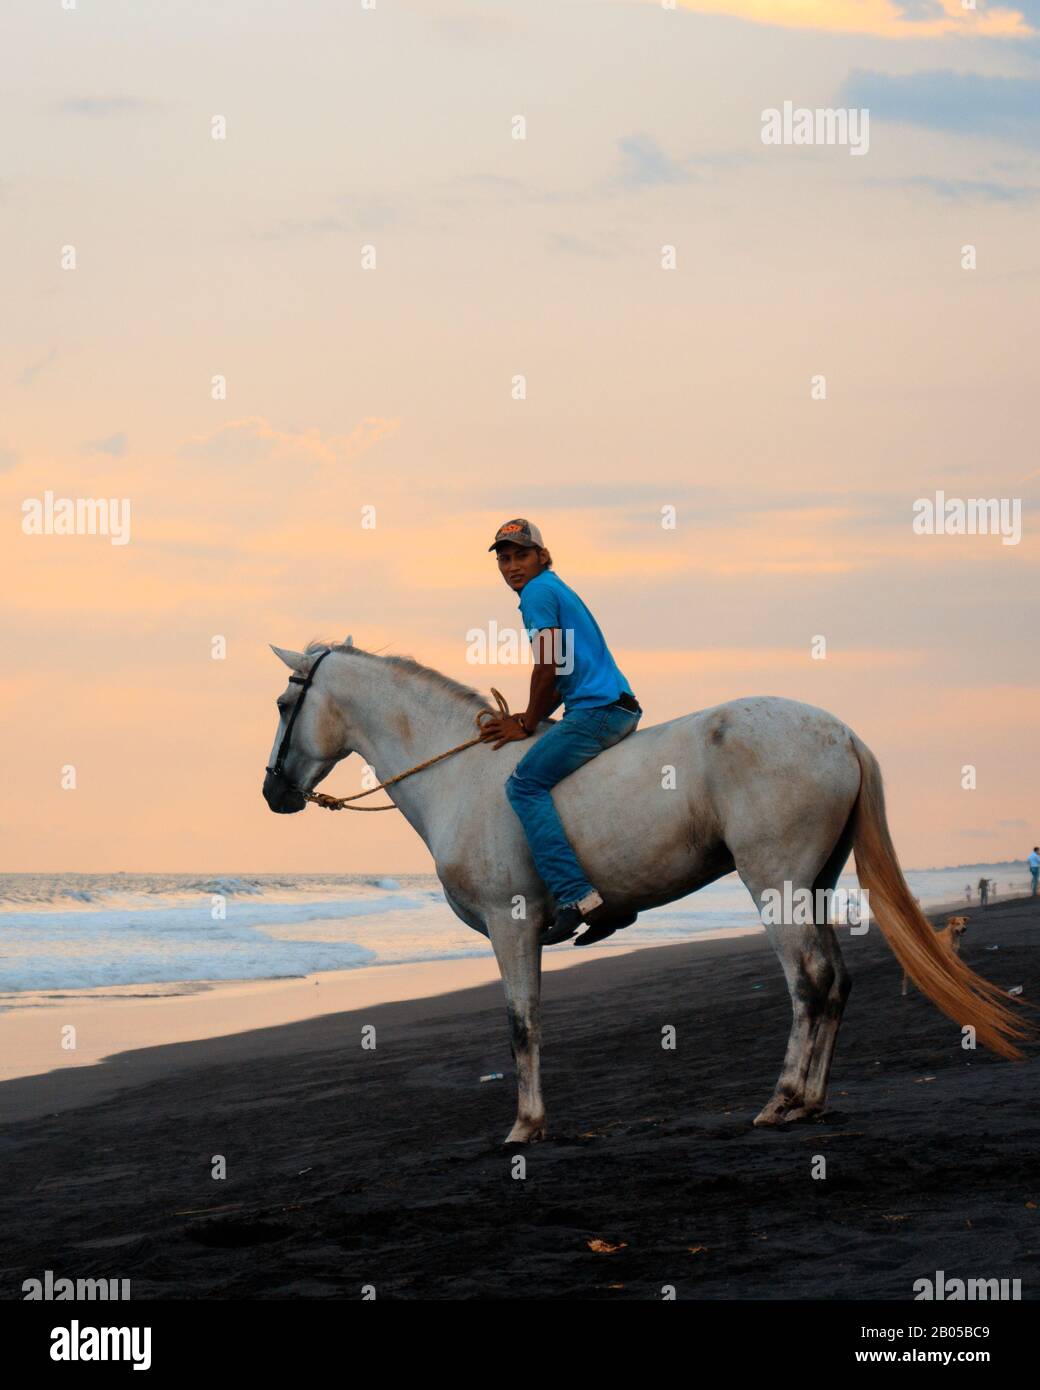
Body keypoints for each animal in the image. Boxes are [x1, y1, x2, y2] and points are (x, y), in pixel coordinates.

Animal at [262, 639, 1028, 1143]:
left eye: (282, 702)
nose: (273, 792)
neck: (461, 777)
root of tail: (839, 734)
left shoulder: (511, 924)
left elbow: (520, 1024)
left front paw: (526, 1125)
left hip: (774, 881)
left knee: (808, 981)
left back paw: (783, 1100)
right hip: (812, 884)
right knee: (835, 982)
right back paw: (810, 1101)